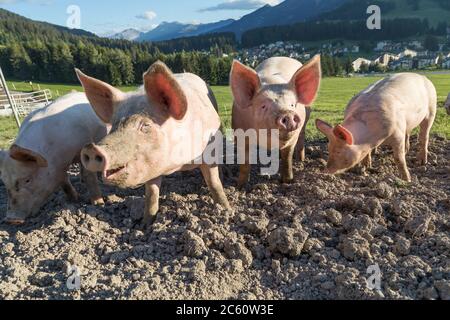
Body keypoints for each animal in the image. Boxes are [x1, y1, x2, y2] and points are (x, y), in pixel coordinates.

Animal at [0, 91, 108, 224]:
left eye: (27, 180)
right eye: (4, 181)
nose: (11, 219)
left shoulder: (85, 145)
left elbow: (90, 177)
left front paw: (98, 204)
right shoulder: (57, 169)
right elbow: (64, 183)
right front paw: (75, 199)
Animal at [76, 60, 230, 225]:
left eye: (145, 125)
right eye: (114, 125)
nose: (91, 148)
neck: (179, 163)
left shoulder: (209, 150)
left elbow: (214, 183)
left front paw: (226, 210)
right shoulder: (150, 166)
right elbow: (151, 194)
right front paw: (145, 224)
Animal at [230, 55, 322, 188]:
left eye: (292, 104)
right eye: (263, 106)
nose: (287, 114)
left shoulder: (293, 138)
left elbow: (287, 158)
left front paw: (287, 182)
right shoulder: (240, 132)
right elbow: (245, 162)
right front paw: (240, 186)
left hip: (305, 122)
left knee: (301, 137)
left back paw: (300, 160)